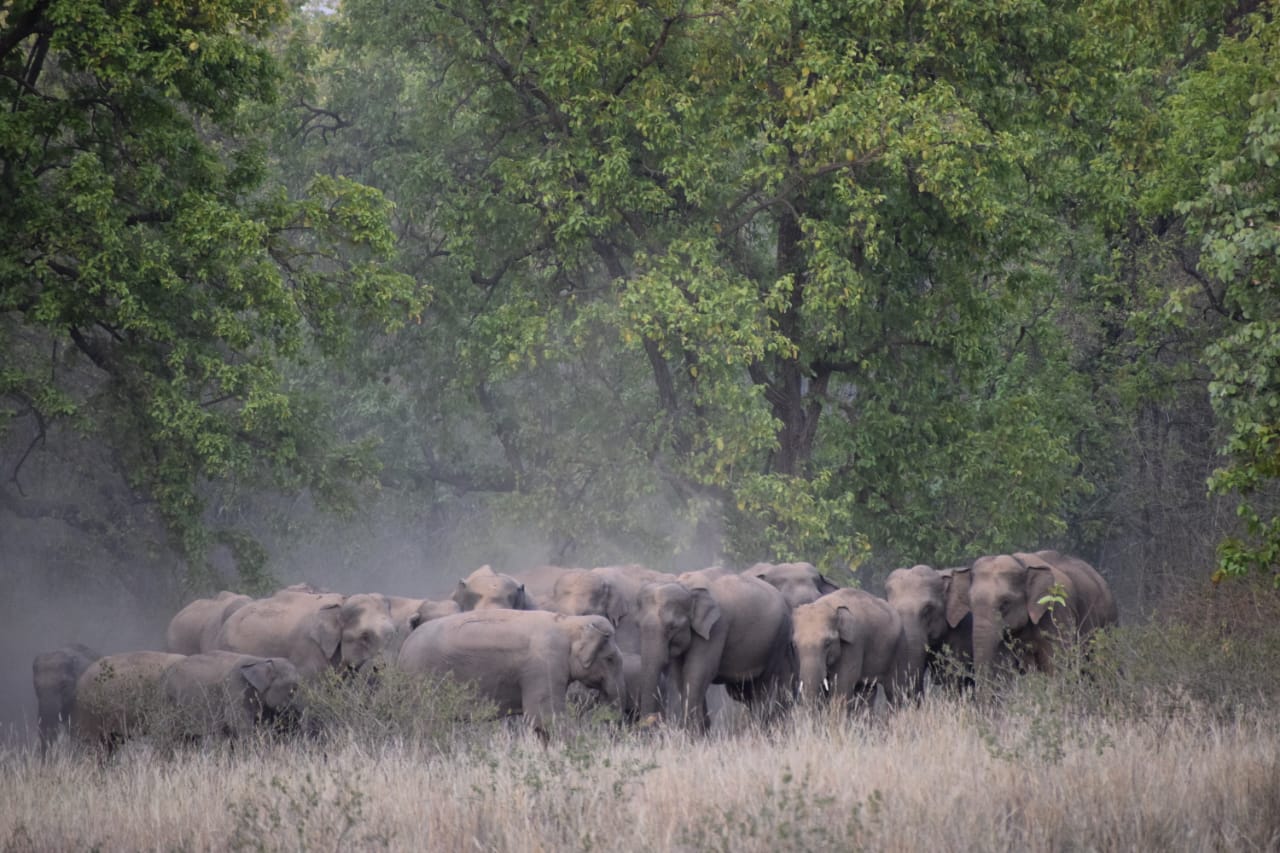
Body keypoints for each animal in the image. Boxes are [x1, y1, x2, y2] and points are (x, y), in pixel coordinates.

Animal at [396, 610, 625, 735]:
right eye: (610, 659)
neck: (569, 622)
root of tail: (404, 648)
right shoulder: (545, 664)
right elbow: (543, 717)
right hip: (420, 679)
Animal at [671, 567, 796, 733]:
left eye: (674, 625)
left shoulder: (717, 628)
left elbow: (697, 672)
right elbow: (681, 675)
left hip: (777, 638)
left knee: (763, 686)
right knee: (744, 691)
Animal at [957, 550, 1119, 680]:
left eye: (1005, 603)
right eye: (969, 603)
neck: (1020, 563)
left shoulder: (1058, 609)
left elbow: (1056, 662)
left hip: (1108, 622)